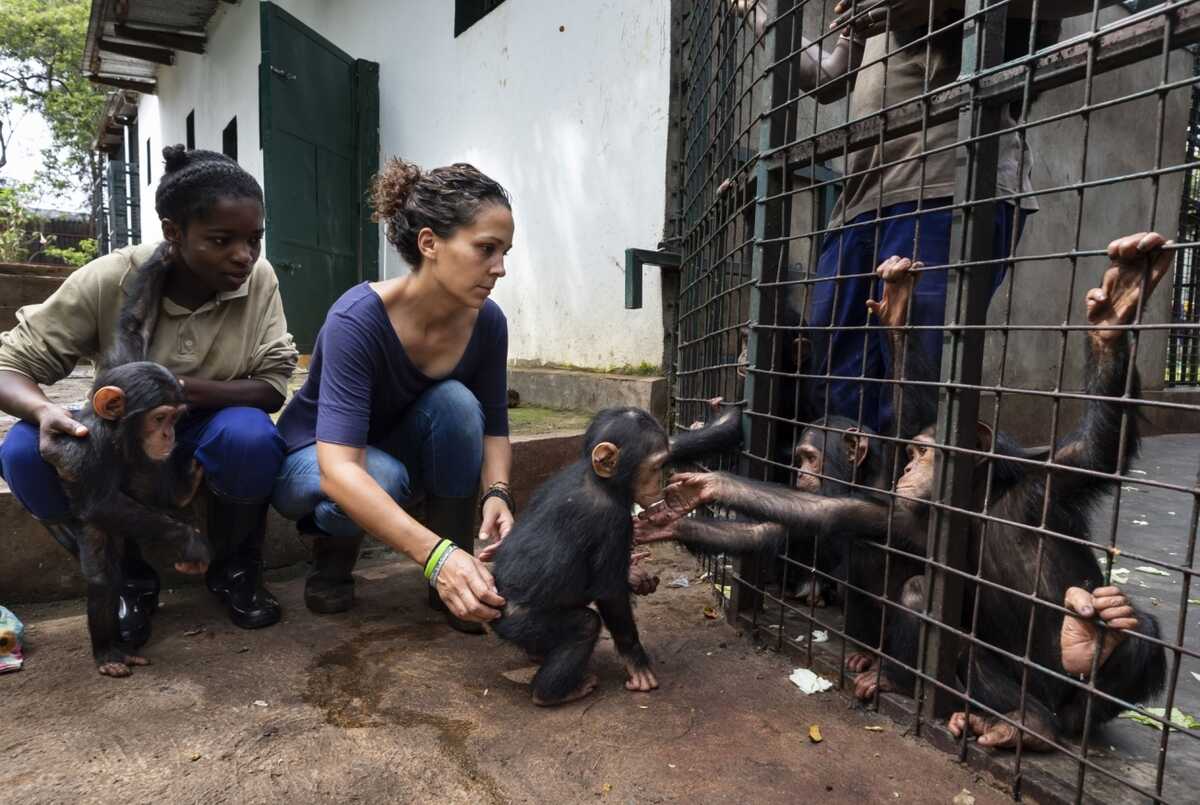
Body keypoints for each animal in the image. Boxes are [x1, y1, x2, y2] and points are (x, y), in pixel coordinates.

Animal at [643, 231, 1166, 748]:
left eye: (810, 457)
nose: (911, 469)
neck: (976, 502)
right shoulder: (897, 506)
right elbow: (790, 520)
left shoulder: (1047, 481)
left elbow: (1097, 447)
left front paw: (1115, 314)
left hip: (1080, 703)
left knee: (1135, 639)